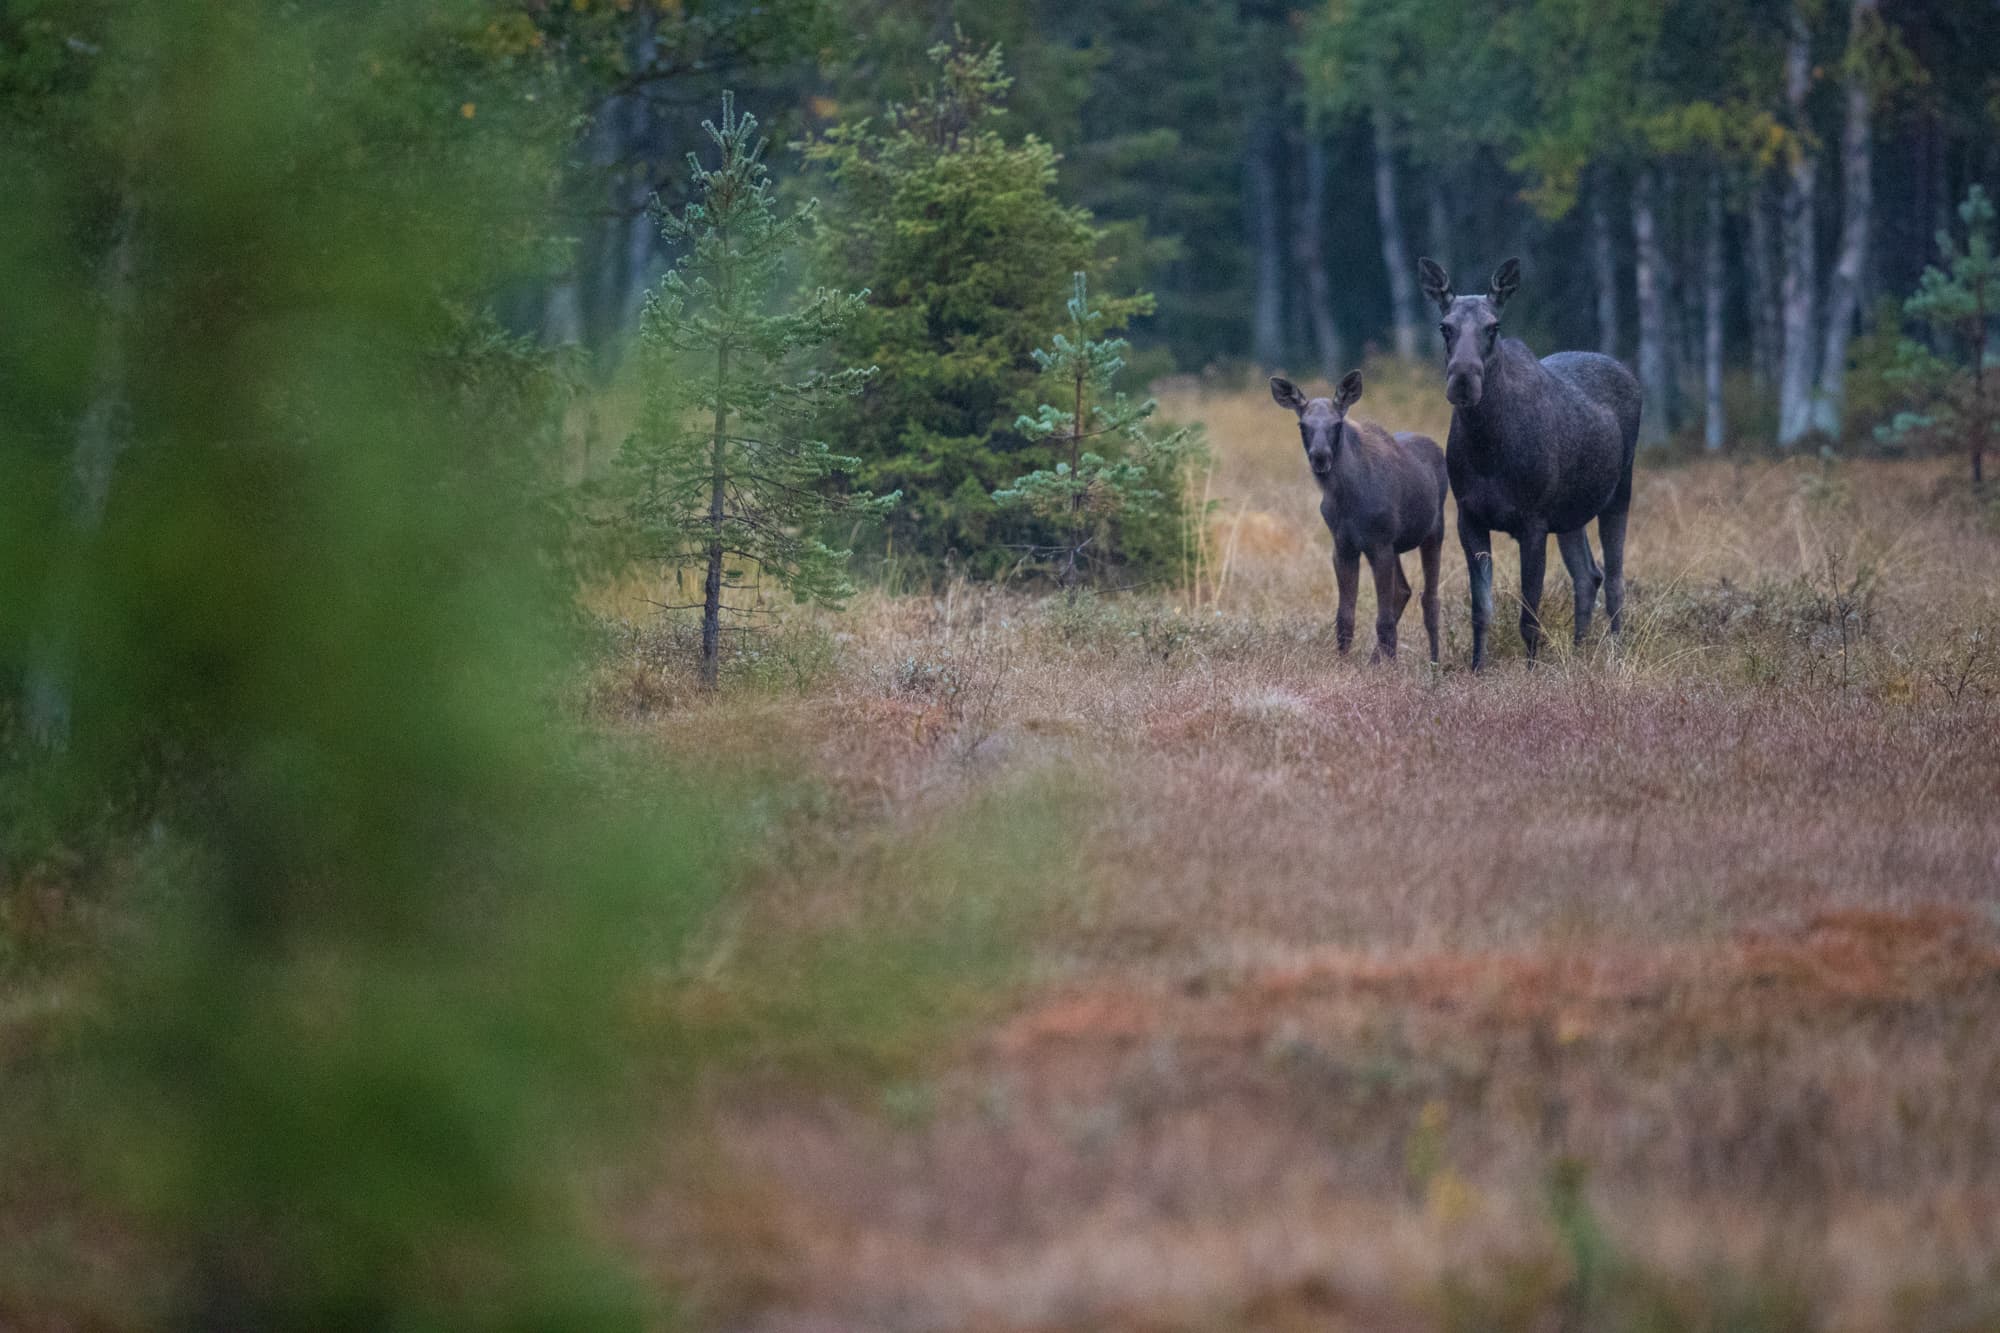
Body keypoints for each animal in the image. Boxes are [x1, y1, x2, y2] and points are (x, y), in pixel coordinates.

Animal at [1272, 366, 1448, 660]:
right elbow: (1344, 617)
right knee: (1404, 590)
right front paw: (1343, 661)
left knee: (1429, 598)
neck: (1347, 499)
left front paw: (1390, 666)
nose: (1320, 457)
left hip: (1434, 531)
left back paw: (1434, 662)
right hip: (1396, 546)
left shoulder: (1380, 544)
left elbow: (1383, 620)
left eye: (1337, 424)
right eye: (1302, 425)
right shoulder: (1344, 546)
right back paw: (1376, 658)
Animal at [1416, 255, 1632, 668]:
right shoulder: (1469, 517)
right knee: (1588, 575)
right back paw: (1579, 650)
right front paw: (1477, 667)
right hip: (1569, 514)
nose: (1463, 379)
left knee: (1614, 578)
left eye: (1494, 326)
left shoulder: (1533, 521)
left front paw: (1532, 671)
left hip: (1619, 493)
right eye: (1444, 326)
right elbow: (1481, 610)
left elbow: (1530, 613)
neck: (1488, 451)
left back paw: (1615, 651)